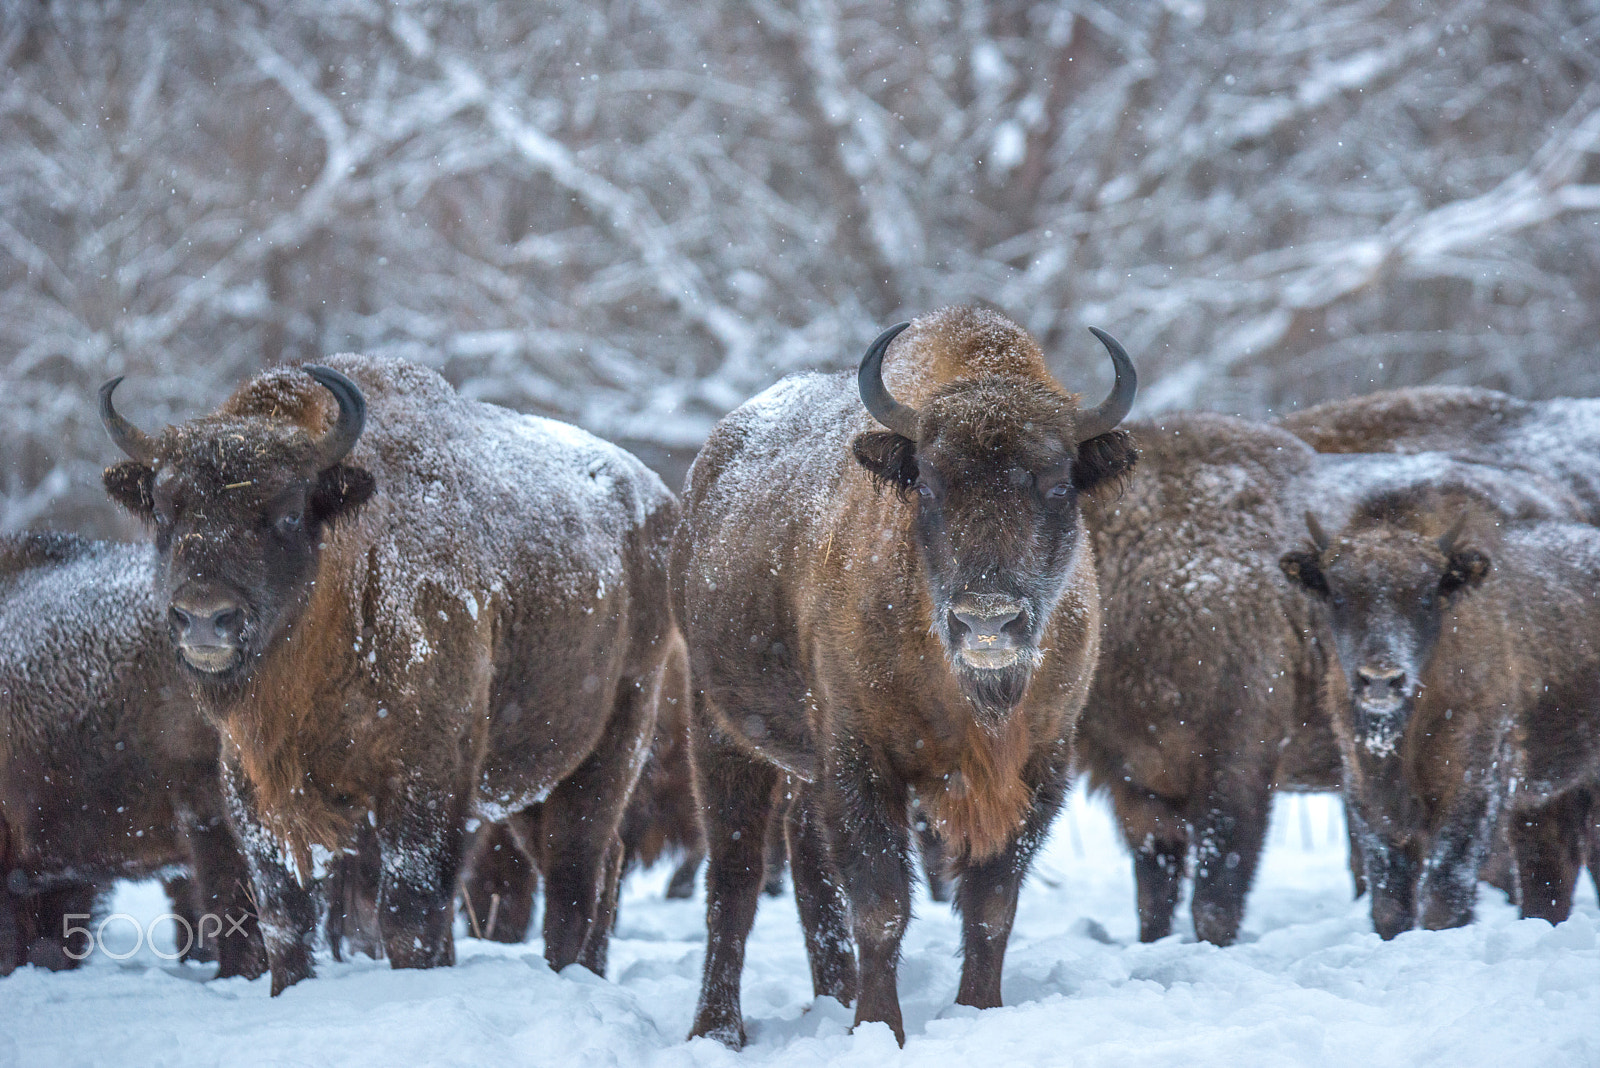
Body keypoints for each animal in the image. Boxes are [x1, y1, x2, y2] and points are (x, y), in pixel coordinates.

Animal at [100, 351, 675, 991]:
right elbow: (284, 915)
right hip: (533, 779)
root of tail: (659, 502)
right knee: (593, 863)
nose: (204, 617)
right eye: (164, 511)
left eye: (288, 512)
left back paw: (568, 972)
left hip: (617, 736)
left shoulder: (426, 778)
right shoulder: (254, 784)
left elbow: (409, 914)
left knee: (577, 872)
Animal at [672, 302, 1139, 1042]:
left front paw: (979, 1012)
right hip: (718, 728)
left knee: (806, 860)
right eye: (931, 486)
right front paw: (878, 1028)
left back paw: (830, 996)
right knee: (735, 877)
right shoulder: (861, 761)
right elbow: (882, 905)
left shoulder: (1039, 768)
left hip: (802, 763)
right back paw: (718, 1029)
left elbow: (991, 905)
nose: (987, 619)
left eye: (1060, 485)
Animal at [1280, 489, 1600, 940]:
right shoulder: (1369, 795)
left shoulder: (1471, 790)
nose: (1381, 679)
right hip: (1550, 792)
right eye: (1338, 596)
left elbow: (1444, 891)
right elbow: (1390, 901)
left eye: (1426, 597)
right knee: (1550, 869)